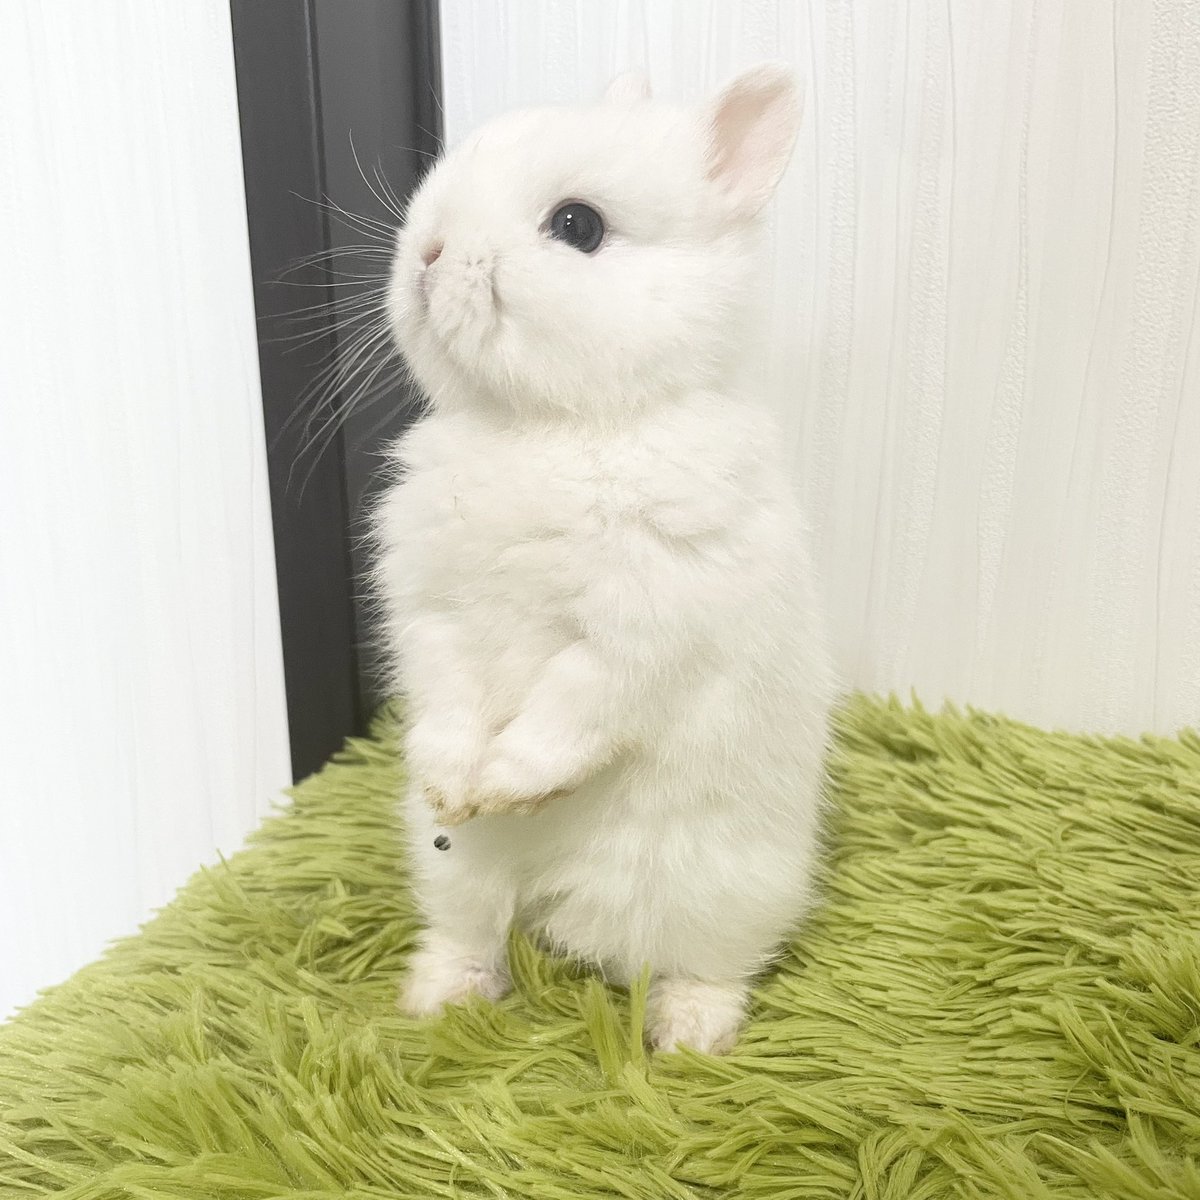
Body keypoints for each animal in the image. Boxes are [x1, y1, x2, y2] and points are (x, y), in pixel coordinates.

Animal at [374, 64, 835, 1055]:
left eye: (578, 225)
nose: (427, 252)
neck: (547, 426)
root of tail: (566, 915)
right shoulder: (432, 614)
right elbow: (448, 696)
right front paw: (456, 787)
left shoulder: (645, 623)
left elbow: (574, 706)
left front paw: (507, 786)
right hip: (453, 875)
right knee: (473, 934)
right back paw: (437, 997)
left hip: (719, 890)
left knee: (711, 965)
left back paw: (687, 1036)